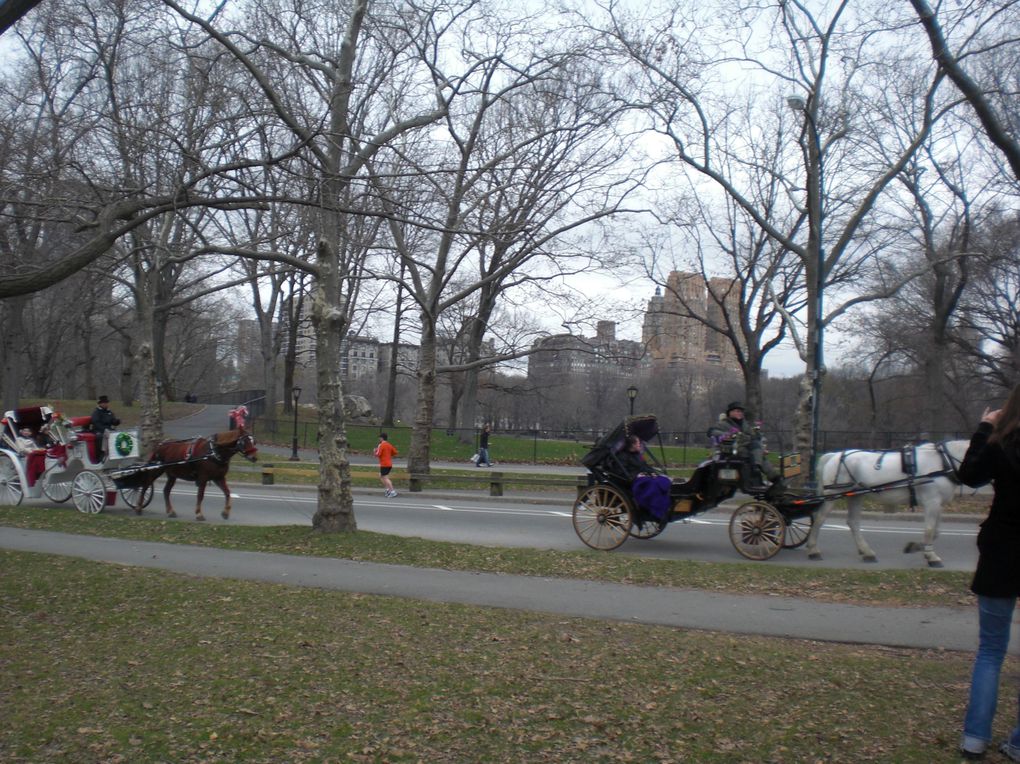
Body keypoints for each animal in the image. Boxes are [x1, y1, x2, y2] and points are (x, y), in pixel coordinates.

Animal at [803, 440, 962, 567]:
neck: (943, 460)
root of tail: (834, 455)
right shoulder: (931, 501)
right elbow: (929, 530)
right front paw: (931, 557)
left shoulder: (938, 504)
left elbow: (936, 531)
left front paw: (915, 547)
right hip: (833, 495)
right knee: (820, 518)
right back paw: (813, 550)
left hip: (855, 496)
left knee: (853, 522)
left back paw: (867, 552)